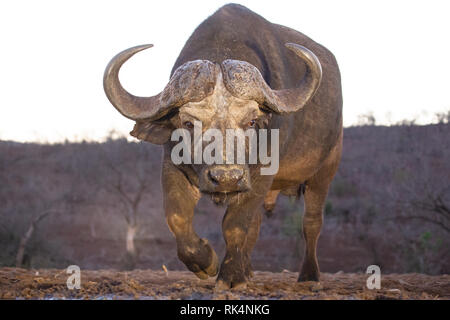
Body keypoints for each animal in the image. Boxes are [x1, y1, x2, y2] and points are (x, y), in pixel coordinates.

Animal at [103, 2, 342, 288]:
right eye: (188, 123)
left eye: (252, 121)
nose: (226, 177)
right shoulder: (171, 164)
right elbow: (177, 216)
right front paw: (206, 261)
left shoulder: (260, 175)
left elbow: (235, 224)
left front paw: (230, 276)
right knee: (257, 224)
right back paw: (248, 269)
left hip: (325, 169)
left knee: (311, 222)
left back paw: (308, 275)